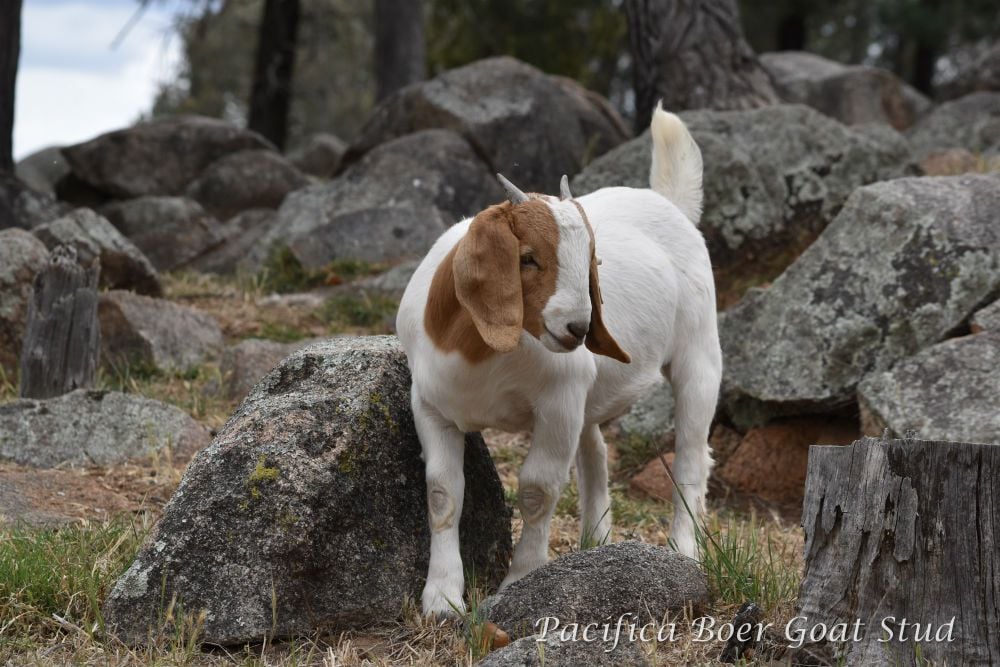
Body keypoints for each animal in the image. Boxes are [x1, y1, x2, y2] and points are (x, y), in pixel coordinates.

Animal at [396, 104, 722, 616]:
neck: (482, 354)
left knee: (690, 457)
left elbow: (538, 490)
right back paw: (596, 541)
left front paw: (521, 580)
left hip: (699, 354)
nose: (579, 329)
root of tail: (671, 204)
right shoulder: (431, 404)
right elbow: (443, 494)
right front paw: (443, 599)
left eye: (590, 259)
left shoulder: (558, 401)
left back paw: (684, 552)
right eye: (527, 257)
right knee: (596, 451)